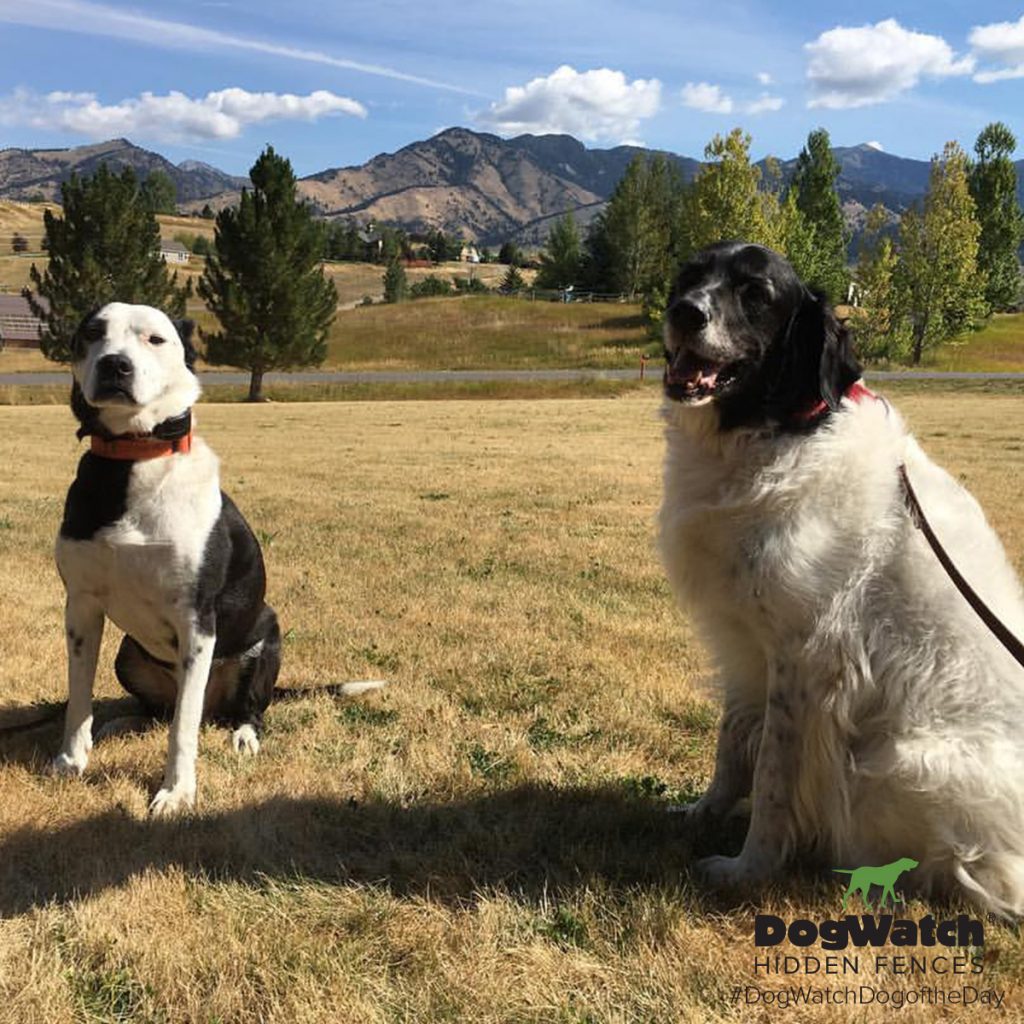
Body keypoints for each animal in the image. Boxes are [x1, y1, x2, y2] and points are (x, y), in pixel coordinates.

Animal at [52, 303, 280, 815]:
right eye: (92, 333)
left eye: (155, 339)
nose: (115, 365)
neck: (132, 457)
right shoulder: (81, 608)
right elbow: (78, 695)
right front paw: (71, 759)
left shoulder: (197, 622)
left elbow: (183, 728)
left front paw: (177, 791)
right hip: (127, 654)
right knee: (156, 712)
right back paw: (120, 723)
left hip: (263, 643)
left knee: (239, 709)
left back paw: (244, 734)